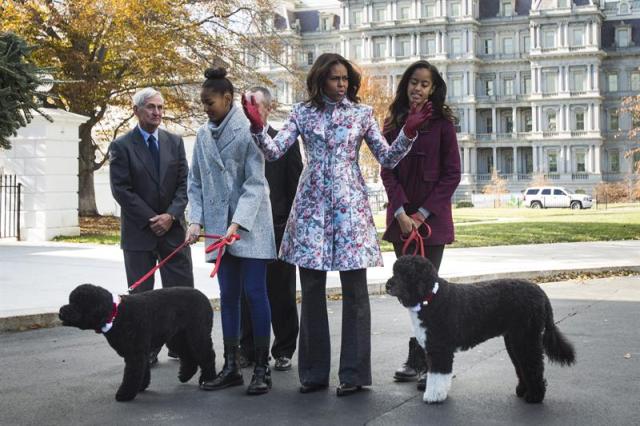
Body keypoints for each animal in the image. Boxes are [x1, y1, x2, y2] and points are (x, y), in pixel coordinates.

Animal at [59, 284, 218, 402]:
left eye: (78, 304)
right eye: (71, 300)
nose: (61, 311)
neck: (115, 316)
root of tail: (204, 297)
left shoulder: (135, 353)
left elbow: (131, 374)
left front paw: (125, 394)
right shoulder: (140, 352)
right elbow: (142, 371)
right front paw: (141, 386)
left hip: (197, 333)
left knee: (207, 356)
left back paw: (208, 379)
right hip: (177, 337)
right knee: (188, 356)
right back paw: (185, 375)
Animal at [384, 255, 576, 404]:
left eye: (406, 274)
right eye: (395, 271)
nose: (388, 285)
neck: (431, 298)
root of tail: (540, 292)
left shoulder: (440, 349)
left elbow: (438, 375)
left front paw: (434, 396)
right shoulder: (433, 348)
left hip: (527, 338)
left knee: (533, 366)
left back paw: (535, 396)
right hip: (514, 340)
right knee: (522, 366)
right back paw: (522, 391)